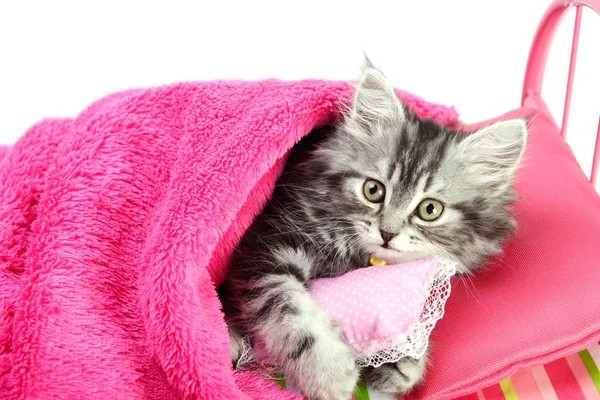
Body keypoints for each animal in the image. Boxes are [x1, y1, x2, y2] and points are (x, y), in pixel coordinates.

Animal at [218, 64, 528, 398]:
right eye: (373, 190)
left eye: (430, 210)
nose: (387, 233)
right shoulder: (266, 245)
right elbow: (288, 308)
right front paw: (328, 373)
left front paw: (403, 362)